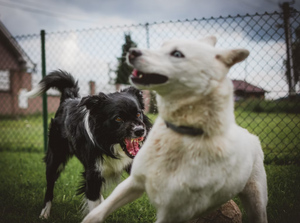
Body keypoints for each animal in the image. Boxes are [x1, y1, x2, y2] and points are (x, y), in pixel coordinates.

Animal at [26, 70, 152, 219]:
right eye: (118, 118)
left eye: (138, 114)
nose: (140, 131)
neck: (109, 144)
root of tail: (68, 99)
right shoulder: (93, 175)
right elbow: (93, 205)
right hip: (55, 158)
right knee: (50, 186)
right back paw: (45, 212)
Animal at [82, 36, 268, 223]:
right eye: (162, 45)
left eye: (177, 54)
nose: (132, 52)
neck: (179, 136)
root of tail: (249, 134)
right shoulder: (133, 182)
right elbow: (96, 212)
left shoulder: (174, 211)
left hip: (256, 199)